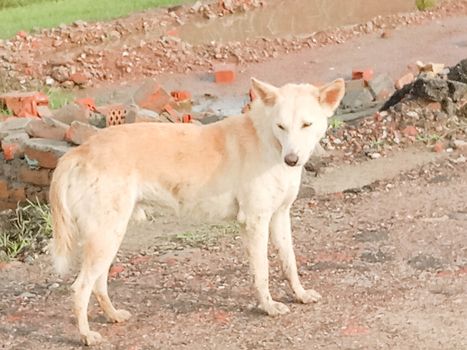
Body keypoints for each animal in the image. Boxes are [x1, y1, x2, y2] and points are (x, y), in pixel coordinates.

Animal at [49, 77, 346, 344]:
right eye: (281, 126)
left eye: (306, 124)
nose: (292, 160)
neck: (269, 143)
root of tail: (79, 152)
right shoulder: (255, 221)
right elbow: (262, 271)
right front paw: (268, 306)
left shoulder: (280, 216)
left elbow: (289, 263)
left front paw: (300, 294)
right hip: (106, 236)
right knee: (80, 288)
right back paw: (86, 335)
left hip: (110, 235)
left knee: (98, 284)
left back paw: (112, 315)